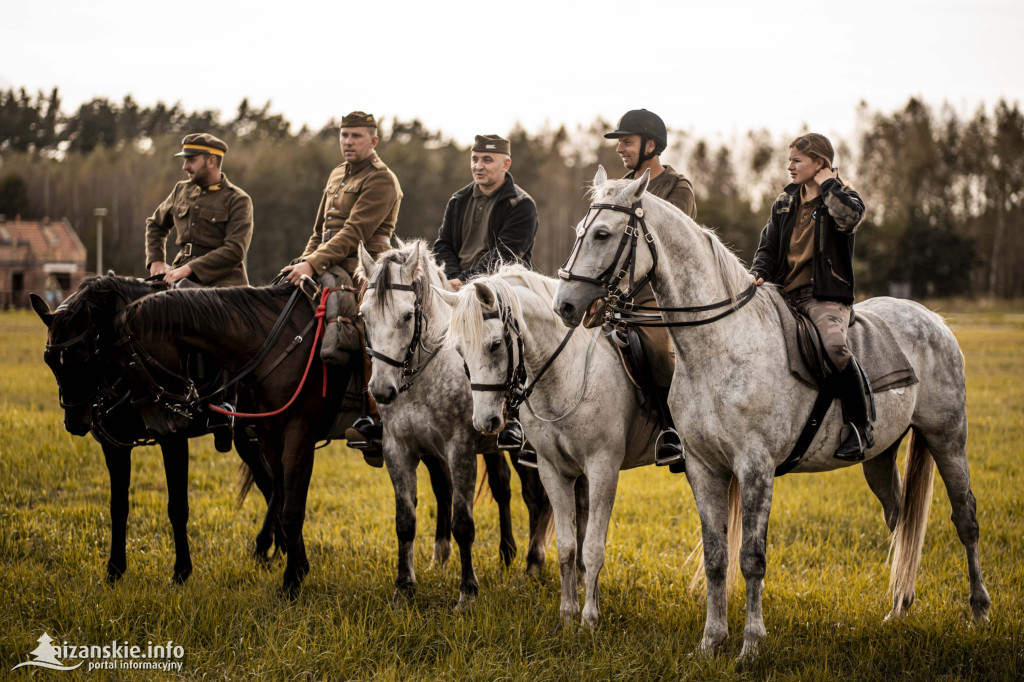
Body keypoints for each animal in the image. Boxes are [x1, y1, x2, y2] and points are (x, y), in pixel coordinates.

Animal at [30, 276, 272, 585]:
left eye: (84, 357)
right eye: (49, 359)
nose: (75, 422)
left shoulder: (174, 439)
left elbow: (177, 506)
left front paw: (181, 572)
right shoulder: (115, 445)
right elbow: (118, 506)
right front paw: (114, 570)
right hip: (247, 439)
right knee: (271, 485)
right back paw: (267, 549)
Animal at [356, 240, 557, 606]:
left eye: (407, 315)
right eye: (364, 315)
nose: (381, 391)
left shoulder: (459, 449)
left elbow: (463, 522)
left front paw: (468, 591)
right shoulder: (399, 450)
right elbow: (405, 521)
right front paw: (403, 588)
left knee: (537, 497)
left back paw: (534, 564)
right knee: (506, 488)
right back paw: (511, 555)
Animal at [438, 266, 737, 626]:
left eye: (495, 344)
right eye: (460, 351)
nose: (485, 421)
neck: (565, 373)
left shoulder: (602, 468)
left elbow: (593, 545)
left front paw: (590, 617)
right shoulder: (554, 471)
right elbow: (567, 546)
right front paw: (567, 615)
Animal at [552, 165, 991, 659]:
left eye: (603, 234)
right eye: (580, 231)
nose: (565, 305)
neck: (720, 343)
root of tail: (933, 319)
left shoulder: (755, 467)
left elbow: (751, 558)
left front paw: (750, 645)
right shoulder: (703, 467)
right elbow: (716, 556)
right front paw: (712, 640)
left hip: (948, 439)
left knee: (966, 519)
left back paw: (978, 610)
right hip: (879, 457)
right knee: (900, 522)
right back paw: (898, 607)